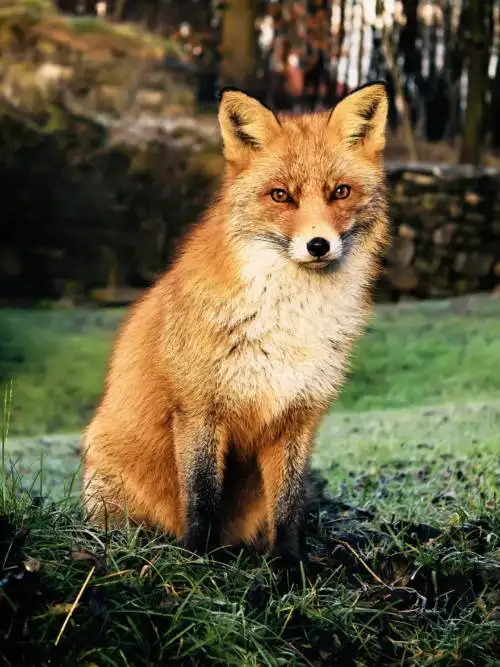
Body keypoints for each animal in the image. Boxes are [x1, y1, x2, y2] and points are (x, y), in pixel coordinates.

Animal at [82, 81, 390, 568]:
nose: (318, 245)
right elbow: (202, 497)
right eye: (280, 195)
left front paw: (290, 567)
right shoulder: (199, 410)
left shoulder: (298, 417)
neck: (288, 321)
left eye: (340, 192)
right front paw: (198, 562)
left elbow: (288, 506)